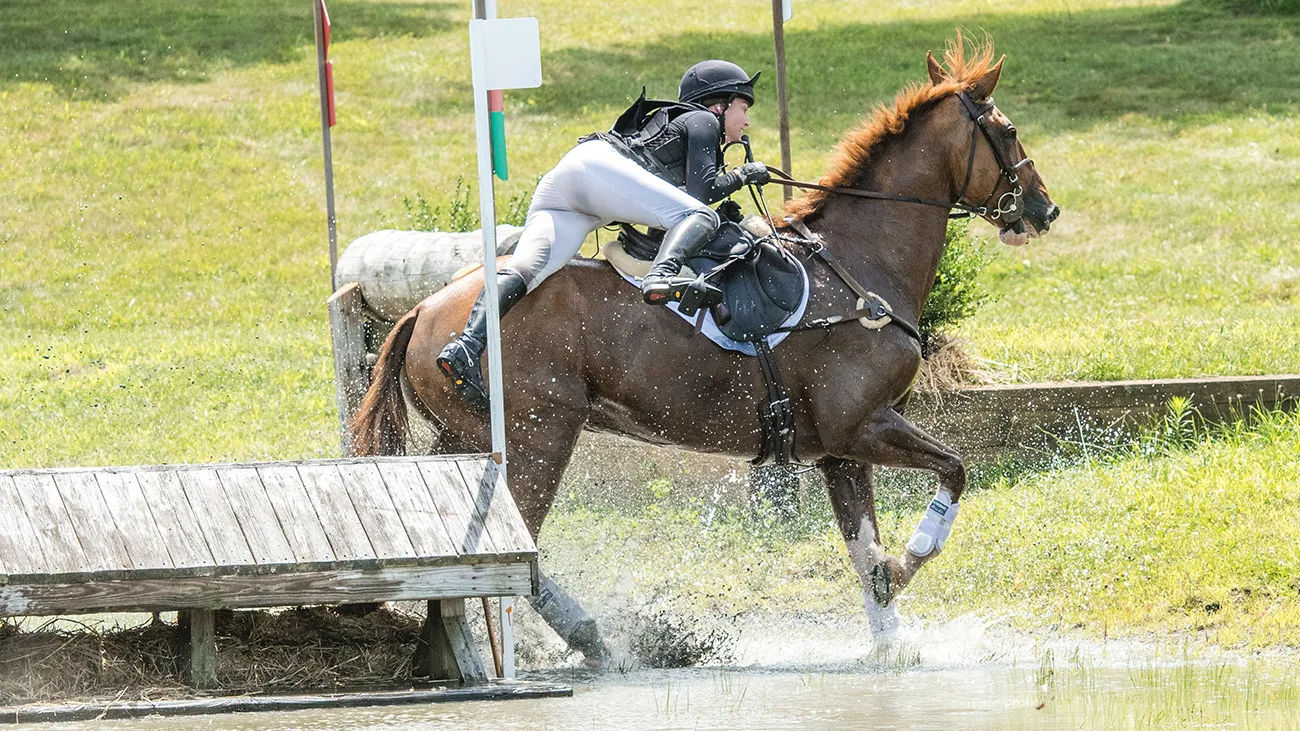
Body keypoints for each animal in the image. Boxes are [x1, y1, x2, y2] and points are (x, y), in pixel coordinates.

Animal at [353, 35, 1055, 660]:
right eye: (1010, 130)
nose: (1044, 210)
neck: (863, 261)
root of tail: (424, 310)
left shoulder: (840, 449)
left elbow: (864, 552)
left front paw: (890, 642)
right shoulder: (861, 425)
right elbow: (954, 472)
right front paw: (911, 561)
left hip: (465, 438)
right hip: (539, 436)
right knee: (518, 543)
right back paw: (587, 635)